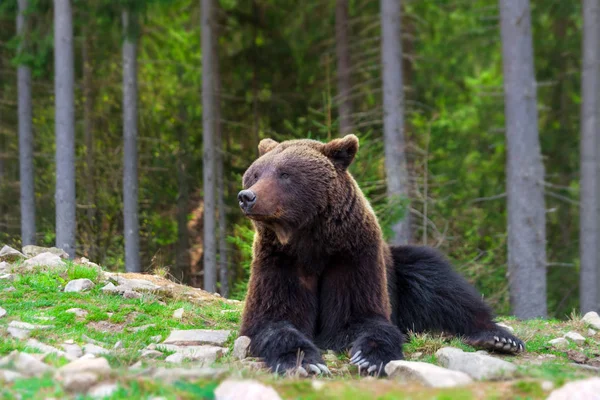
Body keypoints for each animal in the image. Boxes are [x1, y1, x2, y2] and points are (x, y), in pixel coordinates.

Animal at [237, 134, 524, 376]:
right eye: (255, 174)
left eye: (284, 174)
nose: (247, 196)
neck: (309, 240)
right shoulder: (281, 260)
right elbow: (273, 319)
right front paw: (305, 361)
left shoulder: (352, 255)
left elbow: (363, 316)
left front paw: (370, 358)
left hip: (401, 265)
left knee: (440, 285)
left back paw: (498, 337)